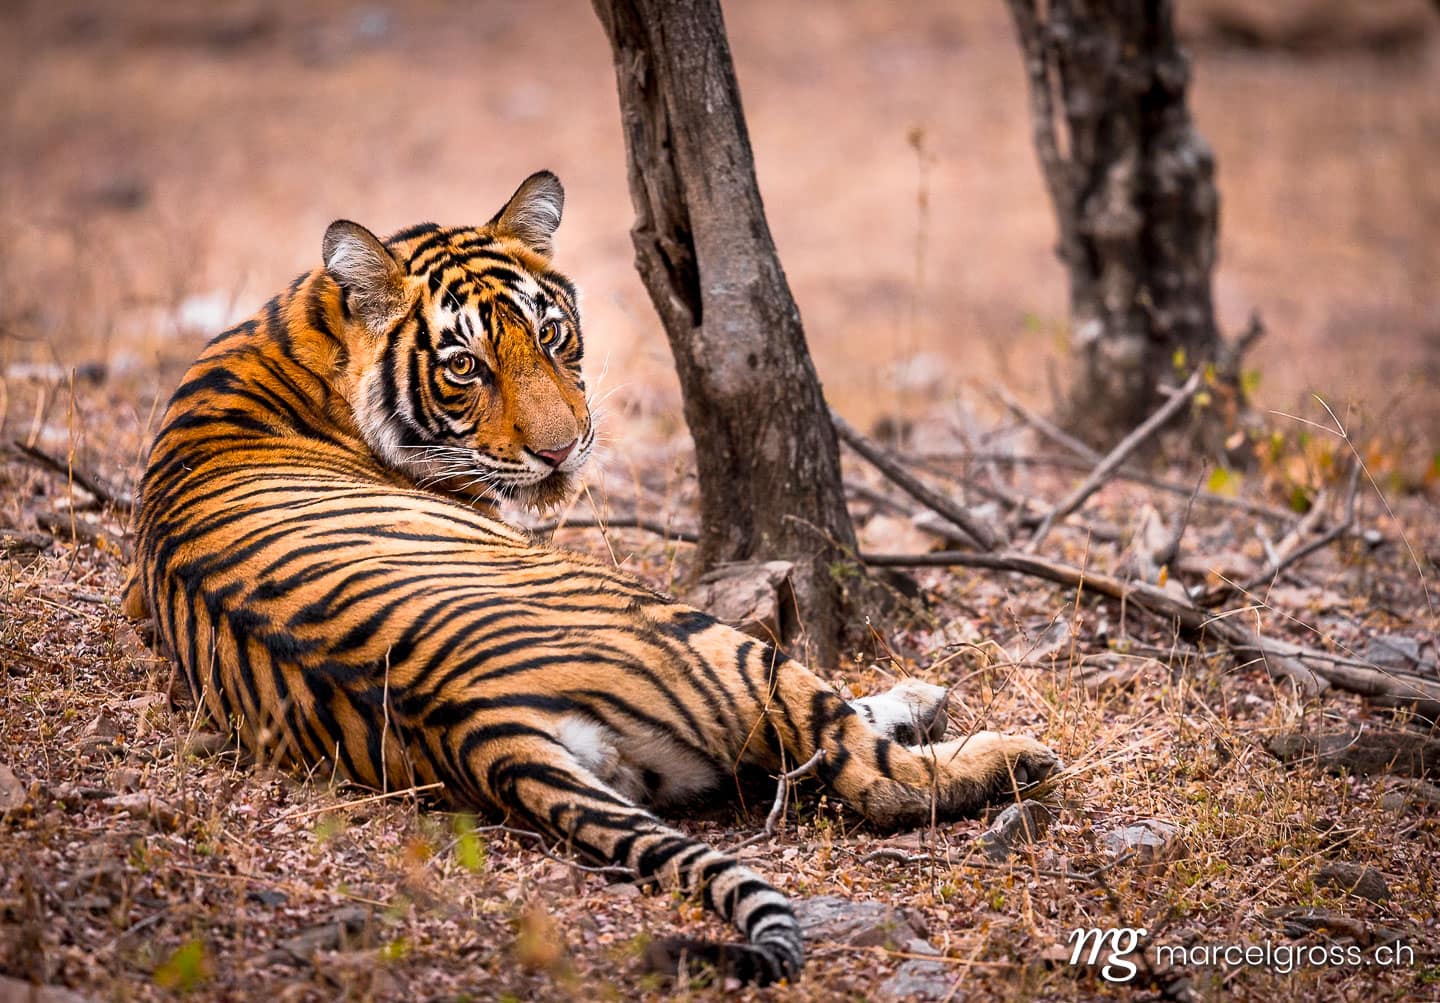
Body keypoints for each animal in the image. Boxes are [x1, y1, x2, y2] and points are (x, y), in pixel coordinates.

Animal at [123, 170, 1060, 986]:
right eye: (463, 366)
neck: (300, 332)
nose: (561, 449)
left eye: (550, 334)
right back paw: (1001, 745)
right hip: (706, 637)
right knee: (866, 768)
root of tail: (481, 724)